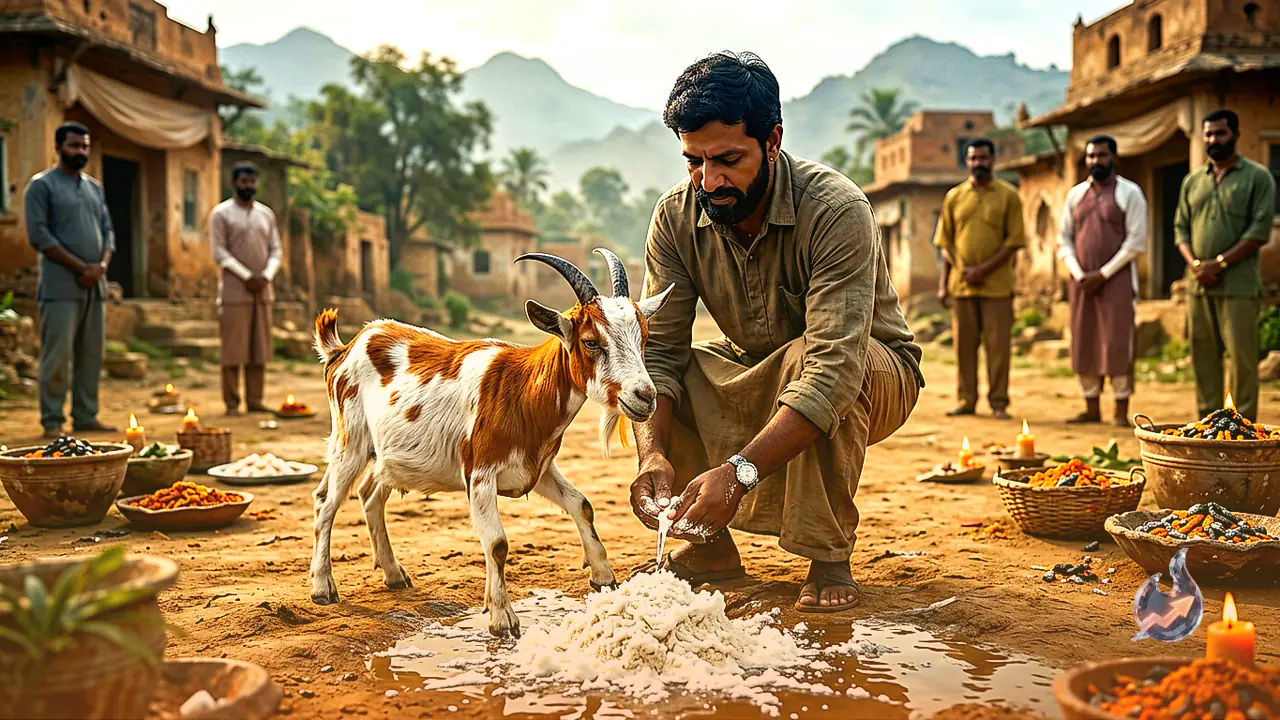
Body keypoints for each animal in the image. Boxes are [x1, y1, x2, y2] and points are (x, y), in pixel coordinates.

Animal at [307, 248, 674, 638]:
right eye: (591, 341)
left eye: (644, 338)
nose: (645, 397)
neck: (524, 389)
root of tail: (344, 348)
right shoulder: (480, 473)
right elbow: (497, 543)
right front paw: (502, 618)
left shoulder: (537, 467)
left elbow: (582, 505)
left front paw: (604, 577)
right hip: (350, 438)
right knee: (326, 500)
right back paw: (323, 587)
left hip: (388, 456)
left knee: (370, 495)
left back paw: (393, 574)